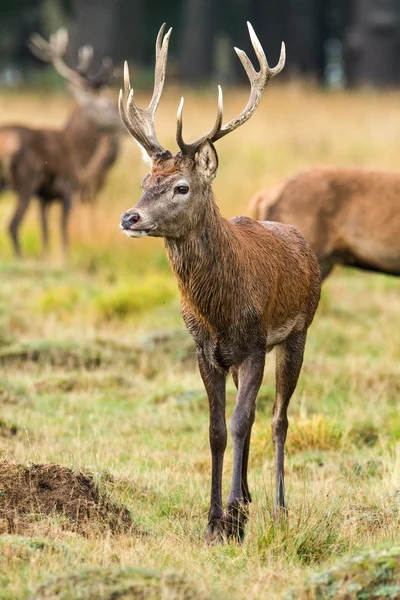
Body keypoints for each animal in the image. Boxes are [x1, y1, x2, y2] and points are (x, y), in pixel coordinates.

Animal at [0, 28, 122, 255]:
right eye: (106, 105)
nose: (122, 125)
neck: (77, 149)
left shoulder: (44, 195)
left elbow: (44, 230)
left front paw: (46, 255)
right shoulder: (68, 187)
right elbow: (63, 228)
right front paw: (64, 255)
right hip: (25, 180)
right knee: (13, 225)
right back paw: (20, 256)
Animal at [119, 23, 322, 540]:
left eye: (181, 187)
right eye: (144, 182)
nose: (130, 217)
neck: (219, 308)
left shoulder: (253, 344)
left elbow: (241, 422)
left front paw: (232, 518)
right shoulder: (205, 349)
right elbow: (215, 429)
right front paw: (216, 519)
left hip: (298, 332)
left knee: (277, 419)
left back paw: (278, 507)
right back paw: (247, 499)